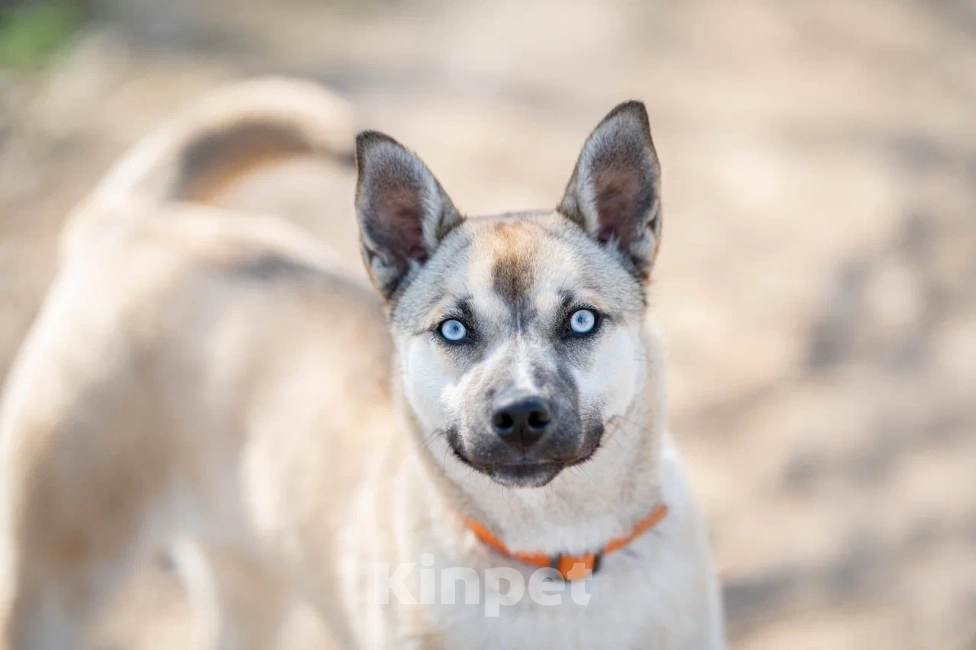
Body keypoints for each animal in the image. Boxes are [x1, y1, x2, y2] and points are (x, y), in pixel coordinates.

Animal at [0, 78, 724, 644]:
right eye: (455, 329)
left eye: (580, 320)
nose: (519, 415)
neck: (560, 558)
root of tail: (132, 224)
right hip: (56, 575)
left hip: (245, 582)